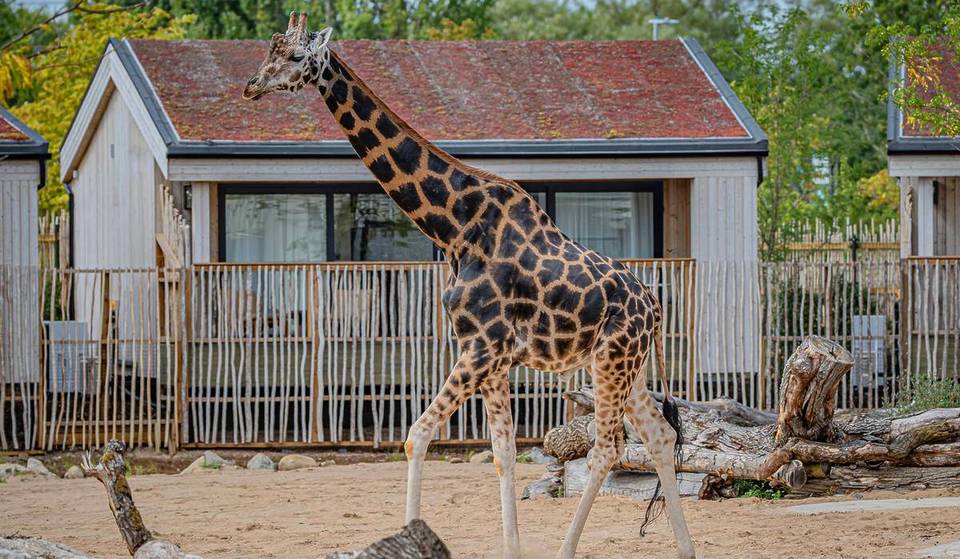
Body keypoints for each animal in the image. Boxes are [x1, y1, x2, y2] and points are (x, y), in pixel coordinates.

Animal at [243, 13, 696, 559]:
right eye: (269, 49)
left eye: (293, 56)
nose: (251, 85)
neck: (453, 225)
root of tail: (653, 304)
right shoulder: (493, 357)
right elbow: (502, 452)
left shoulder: (480, 348)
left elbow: (417, 434)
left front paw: (410, 538)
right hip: (627, 366)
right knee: (659, 435)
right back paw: (686, 549)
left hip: (613, 360)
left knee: (608, 448)